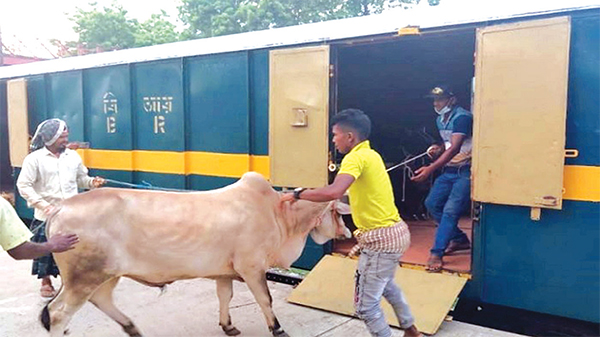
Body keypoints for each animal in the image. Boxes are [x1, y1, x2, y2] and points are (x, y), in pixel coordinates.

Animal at [41, 172, 352, 334]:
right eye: (338, 213)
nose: (347, 235)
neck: (278, 213)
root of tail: (61, 207)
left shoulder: (224, 272)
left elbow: (225, 296)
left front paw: (227, 325)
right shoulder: (252, 267)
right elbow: (266, 299)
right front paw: (277, 328)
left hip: (105, 275)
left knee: (100, 301)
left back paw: (131, 326)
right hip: (85, 277)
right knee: (57, 314)